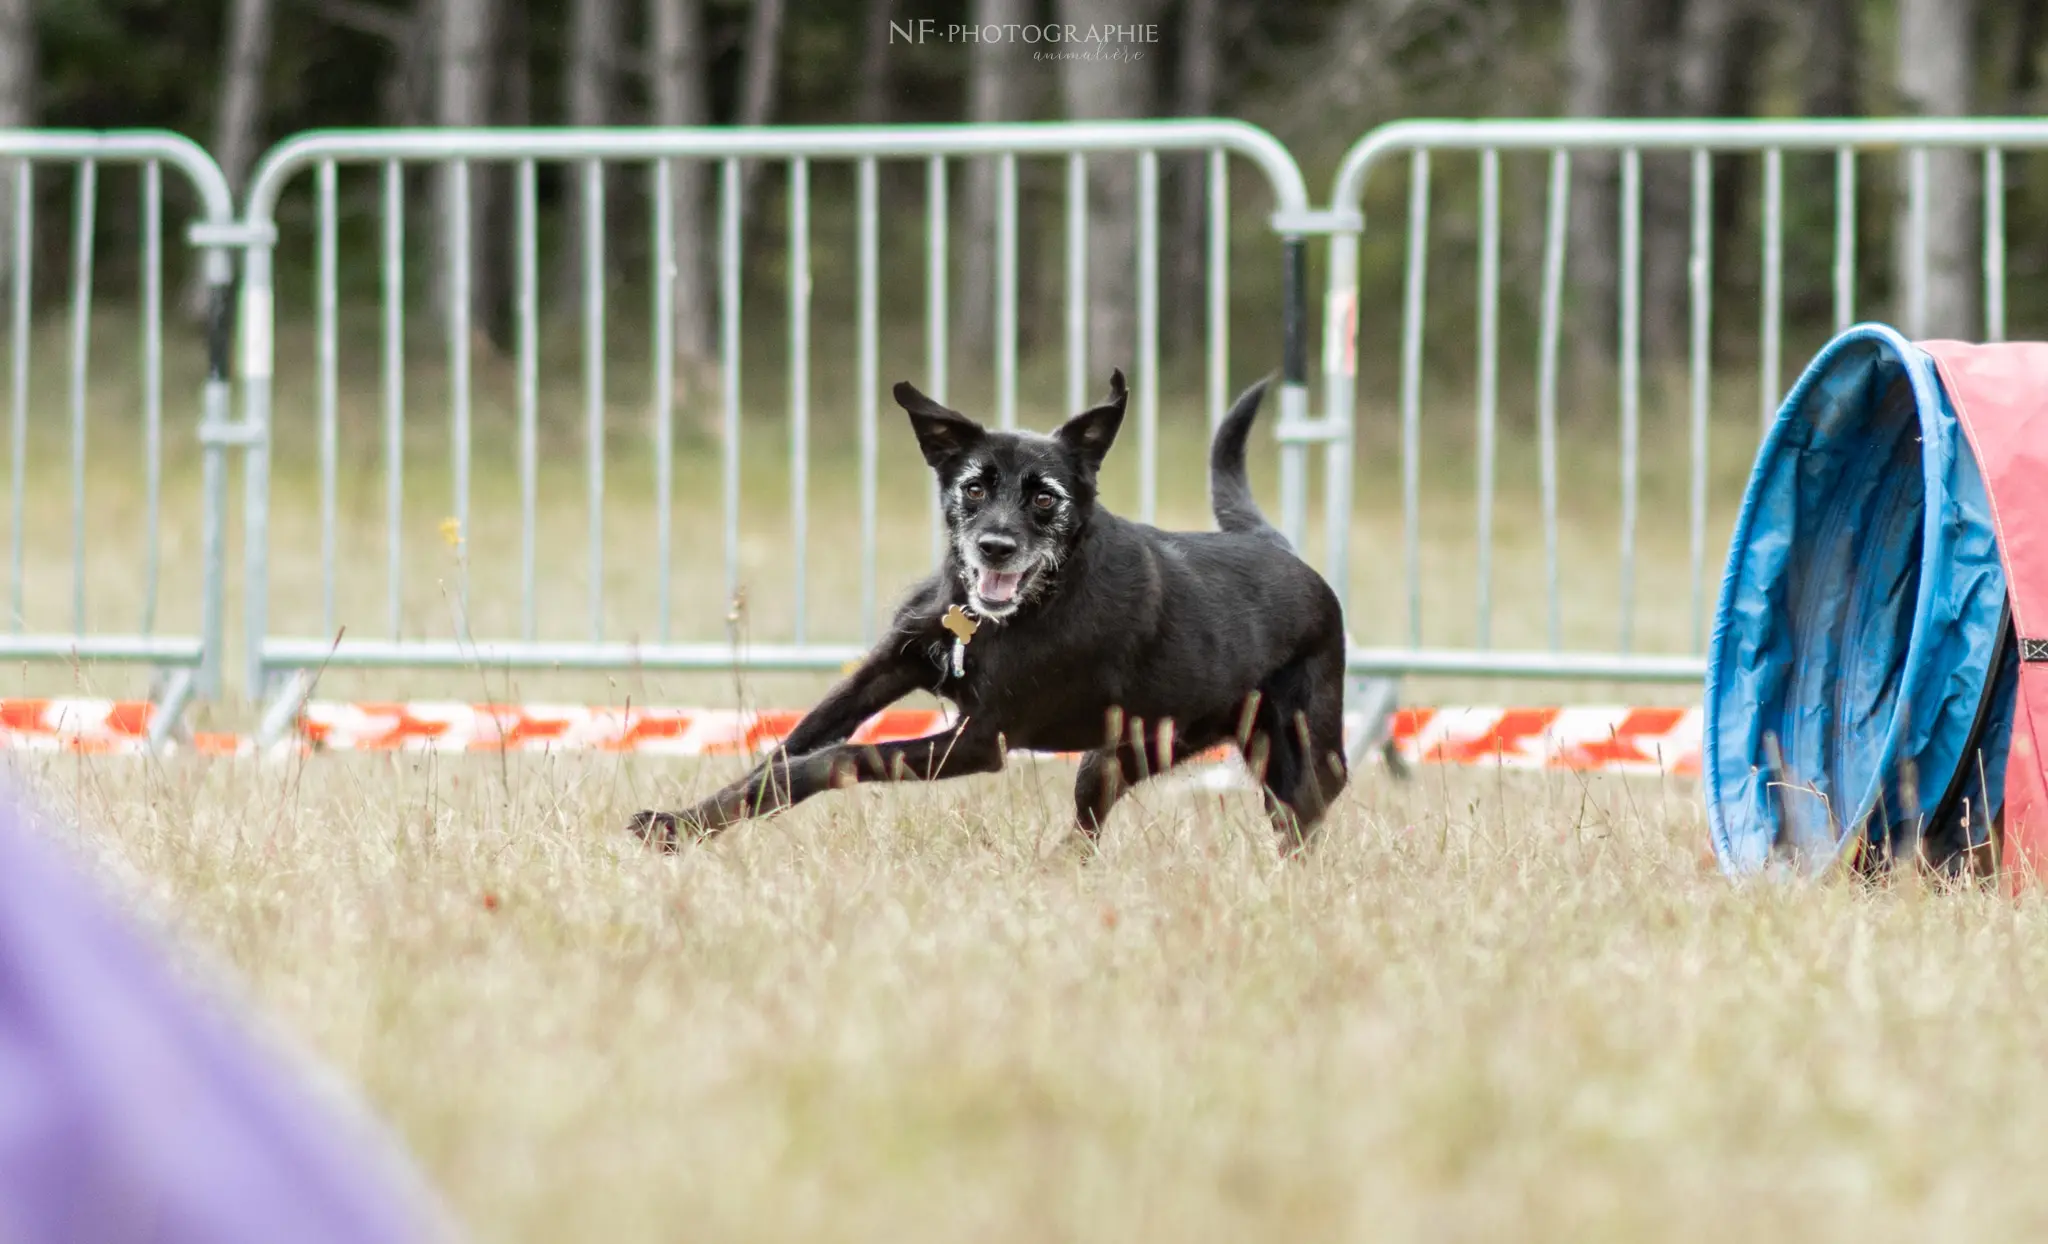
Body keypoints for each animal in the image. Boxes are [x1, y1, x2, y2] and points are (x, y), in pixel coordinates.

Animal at [630, 368, 1351, 856]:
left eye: (1045, 498)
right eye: (973, 487)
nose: (995, 546)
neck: (993, 620)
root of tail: (1277, 547)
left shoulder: (982, 739)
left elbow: (835, 759)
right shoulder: (885, 671)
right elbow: (785, 752)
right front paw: (682, 825)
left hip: (1299, 761)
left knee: (1304, 821)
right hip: (1116, 755)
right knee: (1089, 819)